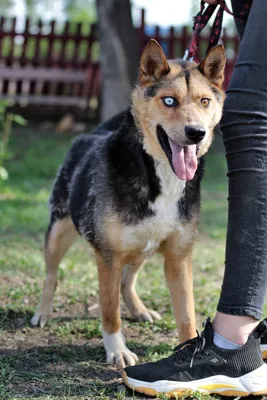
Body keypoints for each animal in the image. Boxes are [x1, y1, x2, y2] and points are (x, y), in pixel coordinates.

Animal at [31, 40, 228, 368]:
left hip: (141, 248)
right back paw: (43, 312)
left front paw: (190, 350)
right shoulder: (108, 256)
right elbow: (110, 311)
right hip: (59, 231)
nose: (196, 133)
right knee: (51, 275)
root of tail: (92, 132)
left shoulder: (179, 257)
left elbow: (187, 313)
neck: (157, 173)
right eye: (169, 100)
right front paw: (117, 351)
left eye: (204, 102)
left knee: (127, 281)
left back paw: (139, 309)